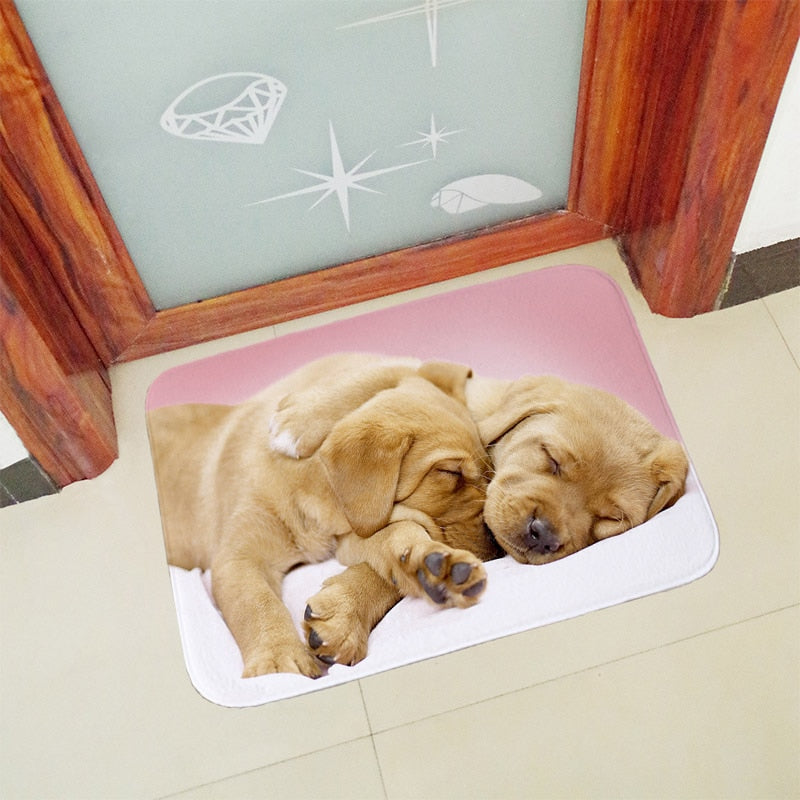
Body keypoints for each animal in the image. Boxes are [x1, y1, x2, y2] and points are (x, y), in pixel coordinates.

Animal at [147, 354, 496, 678]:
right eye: (450, 472)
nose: (495, 540)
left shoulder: (351, 535)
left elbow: (396, 544)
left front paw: (433, 567)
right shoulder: (240, 558)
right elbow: (257, 605)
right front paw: (278, 662)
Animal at [268, 355, 689, 667]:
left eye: (611, 519)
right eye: (551, 459)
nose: (543, 535)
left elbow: (403, 562)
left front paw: (348, 612)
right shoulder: (446, 377)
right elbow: (386, 373)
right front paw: (299, 421)